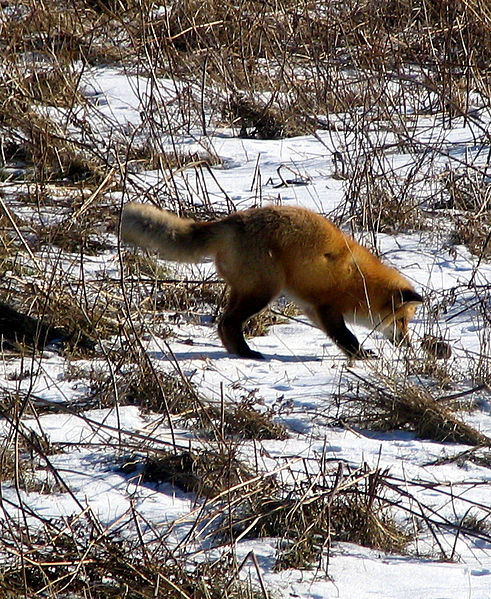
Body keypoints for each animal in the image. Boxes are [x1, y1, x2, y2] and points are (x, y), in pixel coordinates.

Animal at [122, 204, 422, 358]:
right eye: (402, 321)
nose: (408, 345)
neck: (360, 282)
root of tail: (234, 219)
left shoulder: (312, 309)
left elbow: (338, 338)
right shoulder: (326, 307)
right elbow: (346, 337)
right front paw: (361, 355)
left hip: (243, 290)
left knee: (222, 324)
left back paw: (237, 351)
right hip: (263, 292)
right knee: (228, 323)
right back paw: (247, 354)